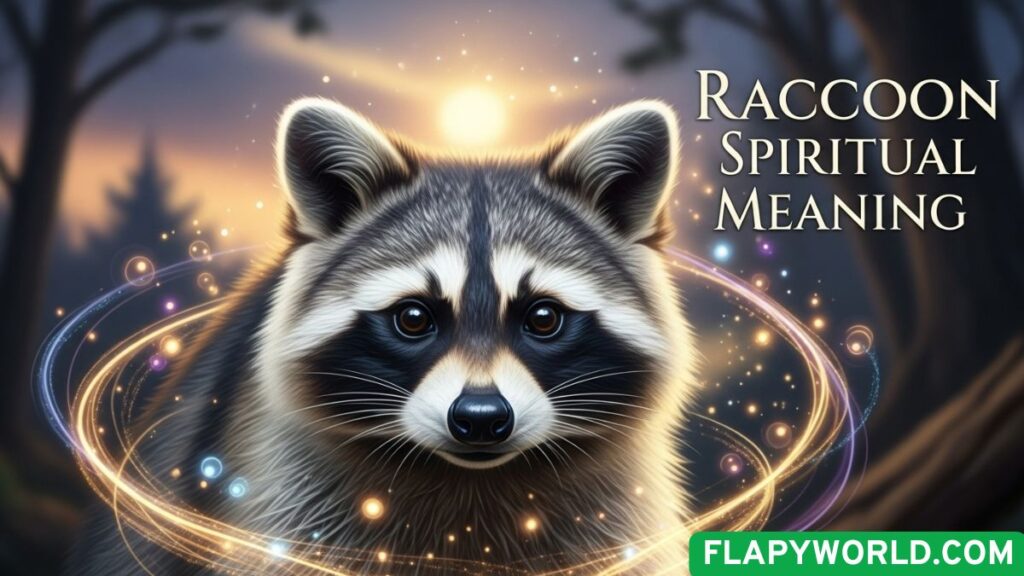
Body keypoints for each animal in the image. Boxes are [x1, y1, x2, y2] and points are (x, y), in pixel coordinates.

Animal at [75, 98, 698, 574]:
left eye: (543, 318)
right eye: (414, 318)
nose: (480, 418)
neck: (468, 483)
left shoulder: (618, 517)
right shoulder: (286, 505)